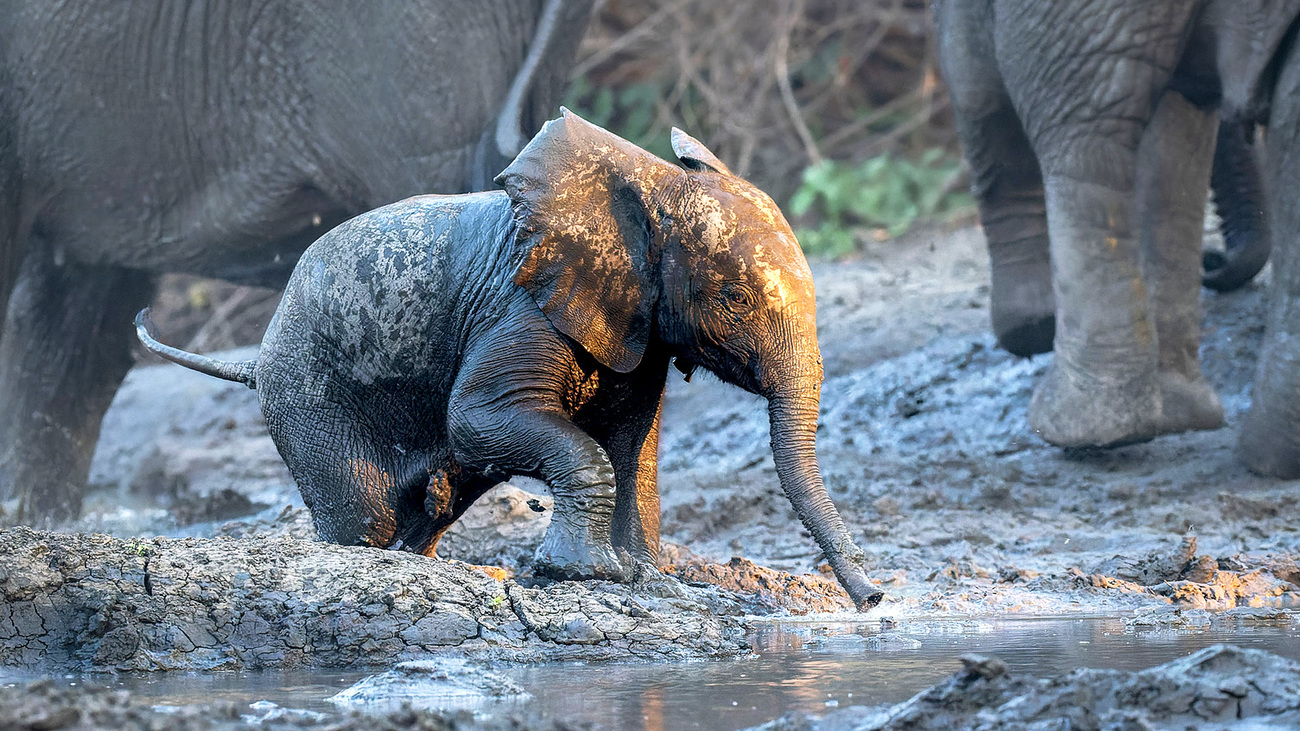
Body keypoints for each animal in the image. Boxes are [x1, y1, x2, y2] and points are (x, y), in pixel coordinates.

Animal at [137, 107, 878, 608]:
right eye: (735, 300)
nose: (872, 598)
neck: (652, 183)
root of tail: (259, 352)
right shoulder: (519, 304)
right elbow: (481, 418)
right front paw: (586, 574)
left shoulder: (636, 328)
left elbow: (630, 443)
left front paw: (644, 577)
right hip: (306, 387)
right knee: (367, 514)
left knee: (428, 507)